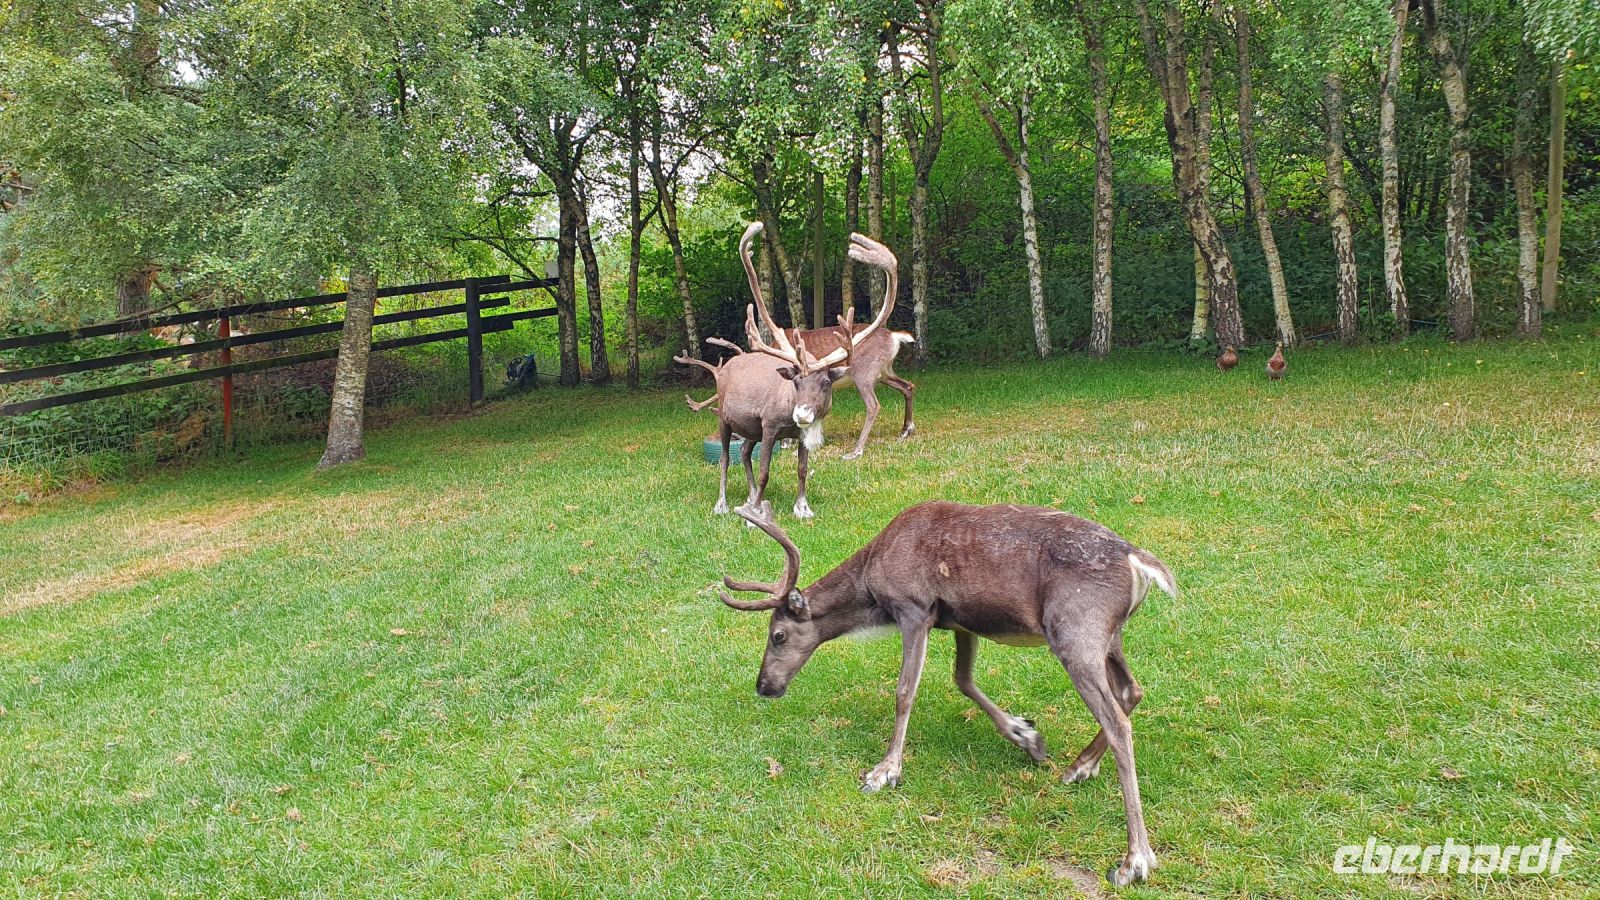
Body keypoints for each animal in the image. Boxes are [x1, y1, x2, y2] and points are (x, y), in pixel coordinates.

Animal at [676, 224, 898, 519]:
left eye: (826, 382)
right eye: (796, 381)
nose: (802, 414)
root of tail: (726, 367)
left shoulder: (795, 433)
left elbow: (802, 470)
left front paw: (802, 507)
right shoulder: (769, 427)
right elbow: (764, 471)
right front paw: (756, 514)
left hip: (750, 428)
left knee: (743, 451)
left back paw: (749, 497)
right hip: (724, 417)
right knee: (725, 458)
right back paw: (722, 504)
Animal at [716, 500, 1178, 887]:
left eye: (777, 634)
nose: (765, 686)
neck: (872, 588)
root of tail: (1139, 562)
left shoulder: (914, 609)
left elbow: (905, 692)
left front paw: (885, 771)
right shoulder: (959, 620)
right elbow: (963, 679)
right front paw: (1025, 734)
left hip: (1077, 630)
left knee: (1118, 721)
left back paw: (1135, 860)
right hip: (1109, 635)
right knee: (1132, 690)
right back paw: (1080, 767)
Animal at [746, 228, 916, 459]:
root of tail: (894, 337)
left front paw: (788, 442)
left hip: (864, 372)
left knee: (874, 405)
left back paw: (856, 450)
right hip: (884, 370)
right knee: (908, 386)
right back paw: (906, 429)